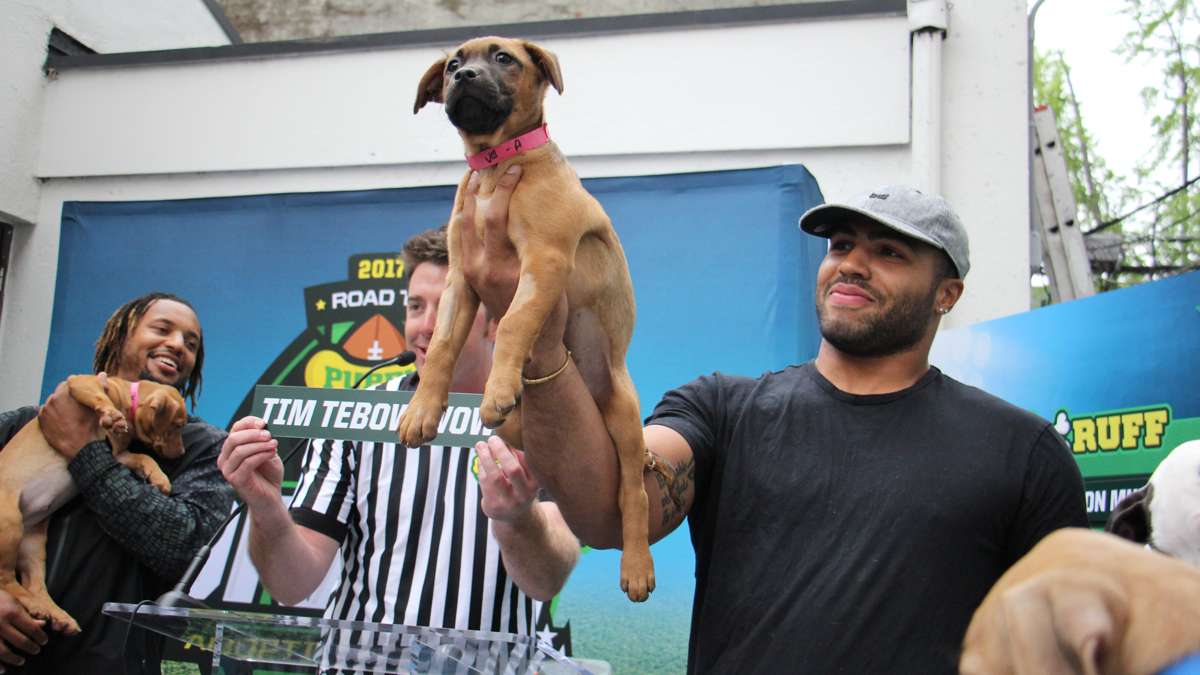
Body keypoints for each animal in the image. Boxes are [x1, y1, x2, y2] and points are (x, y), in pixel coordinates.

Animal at [0, 372, 187, 629]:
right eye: (177, 425)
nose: (182, 453)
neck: (127, 398)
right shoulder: (81, 383)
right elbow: (99, 397)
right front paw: (112, 414)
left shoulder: (118, 455)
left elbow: (143, 456)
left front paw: (159, 477)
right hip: (9, 525)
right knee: (5, 580)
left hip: (32, 543)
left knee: (33, 584)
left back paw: (54, 613)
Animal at [400, 36, 657, 595]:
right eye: (452, 65)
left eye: (504, 58)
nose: (465, 77)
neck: (496, 163)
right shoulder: (461, 279)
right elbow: (443, 347)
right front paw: (422, 410)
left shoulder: (543, 262)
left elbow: (517, 321)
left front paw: (497, 387)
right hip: (522, 430)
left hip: (626, 416)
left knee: (635, 492)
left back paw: (637, 566)